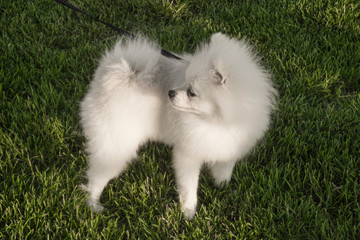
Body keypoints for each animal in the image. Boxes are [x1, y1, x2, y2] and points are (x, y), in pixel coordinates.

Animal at [79, 33, 276, 219]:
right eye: (185, 82)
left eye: (192, 93)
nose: (170, 93)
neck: (216, 121)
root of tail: (109, 74)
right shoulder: (188, 155)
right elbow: (189, 185)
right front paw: (188, 211)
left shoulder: (229, 147)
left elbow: (224, 170)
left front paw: (224, 187)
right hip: (113, 143)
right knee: (96, 177)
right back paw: (93, 204)